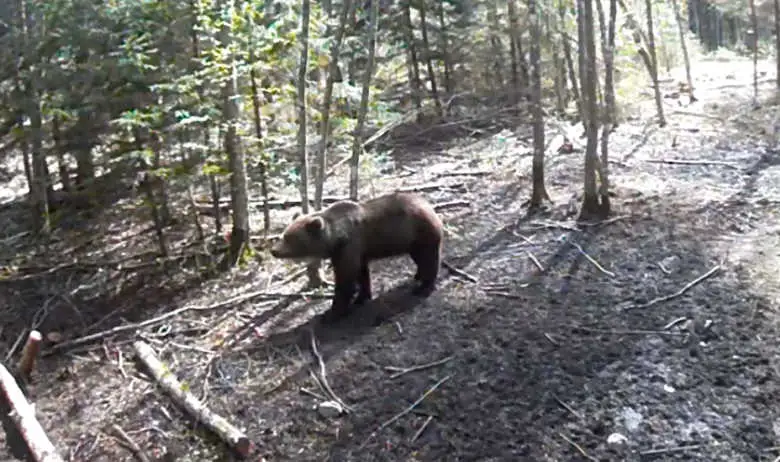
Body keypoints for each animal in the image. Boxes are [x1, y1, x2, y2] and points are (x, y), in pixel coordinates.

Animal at [270, 192, 444, 322]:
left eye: (290, 238)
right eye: (284, 234)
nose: (273, 250)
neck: (336, 238)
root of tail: (430, 206)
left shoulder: (350, 246)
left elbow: (346, 279)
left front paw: (331, 313)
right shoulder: (351, 252)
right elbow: (361, 273)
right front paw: (362, 297)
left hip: (421, 233)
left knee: (429, 259)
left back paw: (423, 287)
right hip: (412, 242)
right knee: (420, 259)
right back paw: (418, 275)